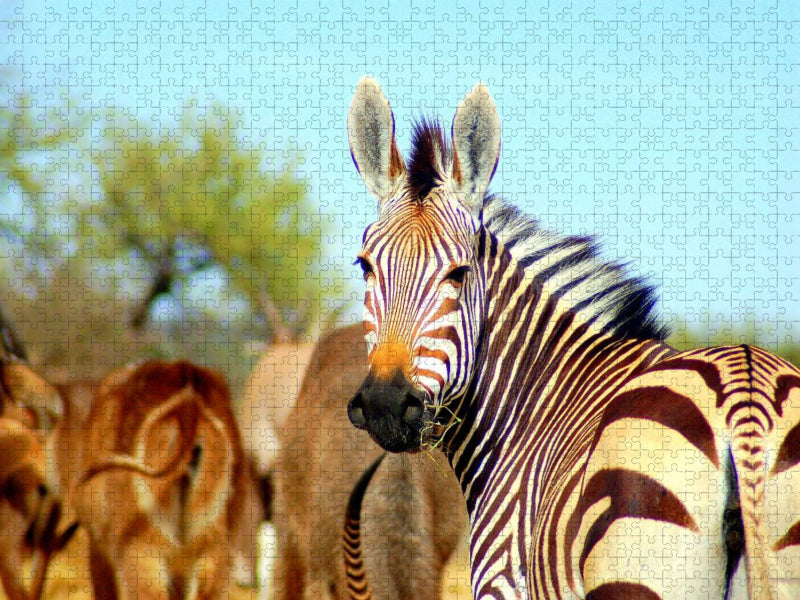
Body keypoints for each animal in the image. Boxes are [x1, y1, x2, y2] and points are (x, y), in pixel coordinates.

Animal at [343, 77, 800, 599]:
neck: (530, 405)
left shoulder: (501, 582)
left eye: (459, 274)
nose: (384, 404)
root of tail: (745, 396)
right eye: (365, 266)